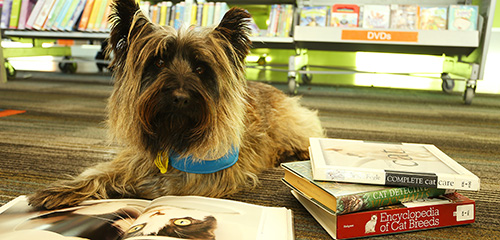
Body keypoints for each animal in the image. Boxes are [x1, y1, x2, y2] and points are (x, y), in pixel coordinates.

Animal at [28, 0, 324, 210]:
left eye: (201, 69)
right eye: (158, 62)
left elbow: (170, 188)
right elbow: (101, 172)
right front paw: (63, 191)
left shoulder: (213, 176)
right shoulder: (134, 158)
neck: (173, 136)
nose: (180, 97)